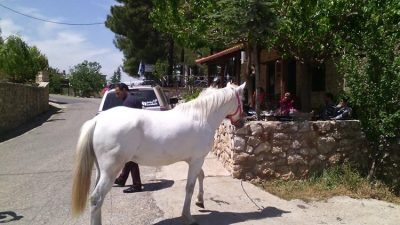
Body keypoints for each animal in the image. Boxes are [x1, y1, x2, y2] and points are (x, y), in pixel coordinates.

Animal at [72, 81, 247, 224]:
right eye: (243, 100)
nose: (242, 122)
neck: (202, 116)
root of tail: (97, 121)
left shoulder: (193, 160)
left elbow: (201, 176)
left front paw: (200, 201)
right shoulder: (197, 159)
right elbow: (190, 187)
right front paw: (187, 216)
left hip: (100, 170)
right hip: (110, 170)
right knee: (96, 199)